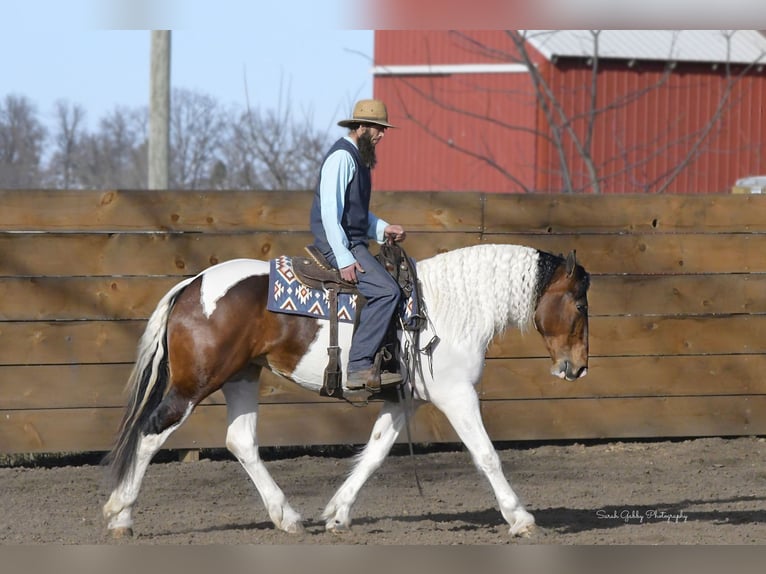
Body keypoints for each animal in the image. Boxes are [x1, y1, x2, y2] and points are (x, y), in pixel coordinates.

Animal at [102, 243, 592, 540]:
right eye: (580, 303)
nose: (578, 367)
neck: (448, 309)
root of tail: (193, 284)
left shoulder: (404, 400)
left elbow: (374, 453)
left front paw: (337, 513)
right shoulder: (457, 396)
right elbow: (487, 454)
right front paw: (520, 517)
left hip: (242, 376)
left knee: (240, 441)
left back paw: (287, 517)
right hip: (196, 384)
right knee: (150, 433)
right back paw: (120, 514)